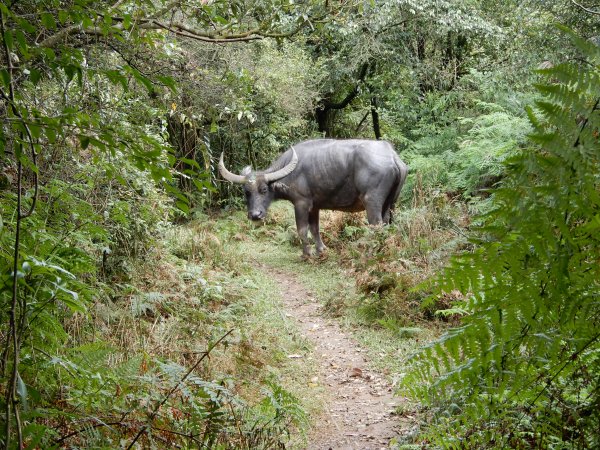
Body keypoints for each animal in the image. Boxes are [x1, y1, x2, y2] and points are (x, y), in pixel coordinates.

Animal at [218, 137, 410, 256]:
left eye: (264, 189)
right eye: (246, 192)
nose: (255, 215)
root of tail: (392, 156)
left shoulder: (301, 203)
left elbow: (302, 230)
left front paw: (306, 254)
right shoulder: (315, 206)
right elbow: (315, 228)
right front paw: (320, 249)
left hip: (372, 202)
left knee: (376, 227)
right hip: (391, 203)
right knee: (387, 225)